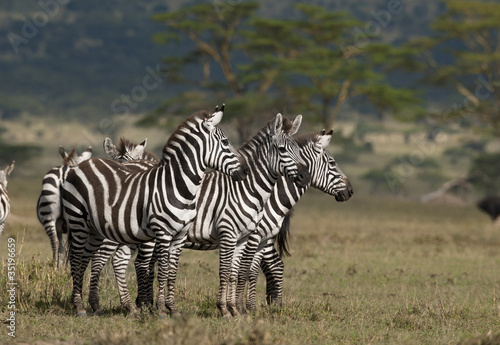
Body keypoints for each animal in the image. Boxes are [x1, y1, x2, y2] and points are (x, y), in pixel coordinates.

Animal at [61, 105, 247, 318]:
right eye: (225, 142)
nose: (246, 170)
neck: (177, 186)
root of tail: (82, 165)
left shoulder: (180, 235)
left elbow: (172, 272)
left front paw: (172, 308)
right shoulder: (163, 233)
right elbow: (162, 271)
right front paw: (159, 310)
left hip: (94, 229)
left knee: (86, 259)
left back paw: (92, 305)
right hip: (78, 221)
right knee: (76, 259)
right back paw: (79, 307)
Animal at [134, 113, 312, 318]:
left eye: (298, 150)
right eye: (282, 149)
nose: (306, 177)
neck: (246, 189)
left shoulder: (244, 237)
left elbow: (236, 273)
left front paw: (236, 310)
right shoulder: (229, 233)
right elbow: (226, 271)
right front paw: (225, 309)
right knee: (142, 264)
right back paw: (144, 305)